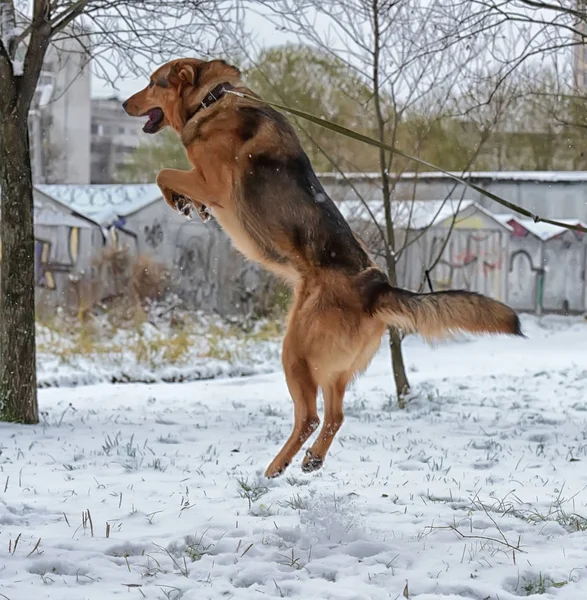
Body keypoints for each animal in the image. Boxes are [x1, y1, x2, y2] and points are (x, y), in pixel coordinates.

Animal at [124, 57, 524, 478]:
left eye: (153, 83)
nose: (122, 104)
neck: (212, 98)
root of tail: (376, 288)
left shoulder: (211, 183)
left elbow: (164, 174)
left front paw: (180, 201)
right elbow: (173, 181)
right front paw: (190, 206)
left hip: (296, 351)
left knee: (311, 417)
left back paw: (276, 466)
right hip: (335, 367)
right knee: (335, 416)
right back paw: (312, 457)